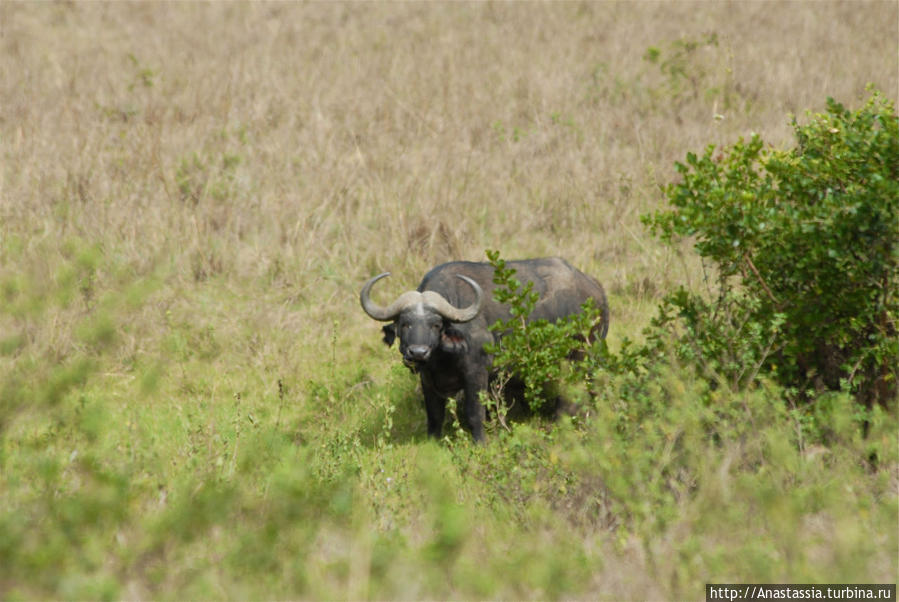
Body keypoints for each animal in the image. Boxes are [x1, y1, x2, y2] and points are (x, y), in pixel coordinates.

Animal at [360, 258, 612, 440]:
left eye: (436, 324)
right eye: (405, 323)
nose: (418, 352)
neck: (442, 358)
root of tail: (595, 289)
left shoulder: (477, 374)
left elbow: (475, 413)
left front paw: (480, 442)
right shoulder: (427, 379)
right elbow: (434, 415)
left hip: (581, 355)